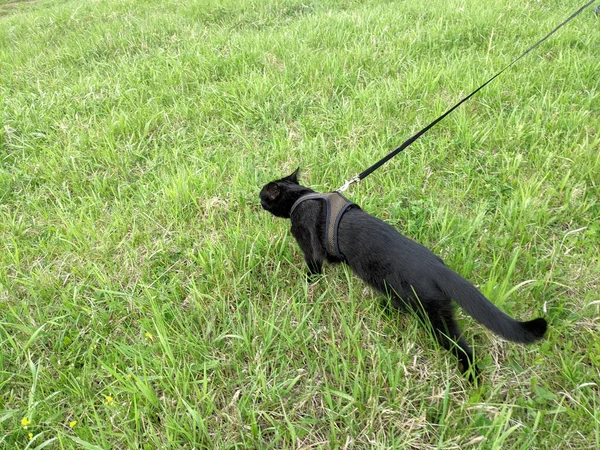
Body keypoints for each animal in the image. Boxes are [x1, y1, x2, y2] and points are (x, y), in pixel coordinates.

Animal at [258, 169, 548, 380]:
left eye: (263, 193)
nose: (256, 198)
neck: (300, 198)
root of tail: (437, 267)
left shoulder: (310, 248)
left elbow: (313, 269)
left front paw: (308, 286)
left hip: (432, 314)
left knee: (460, 345)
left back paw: (472, 375)